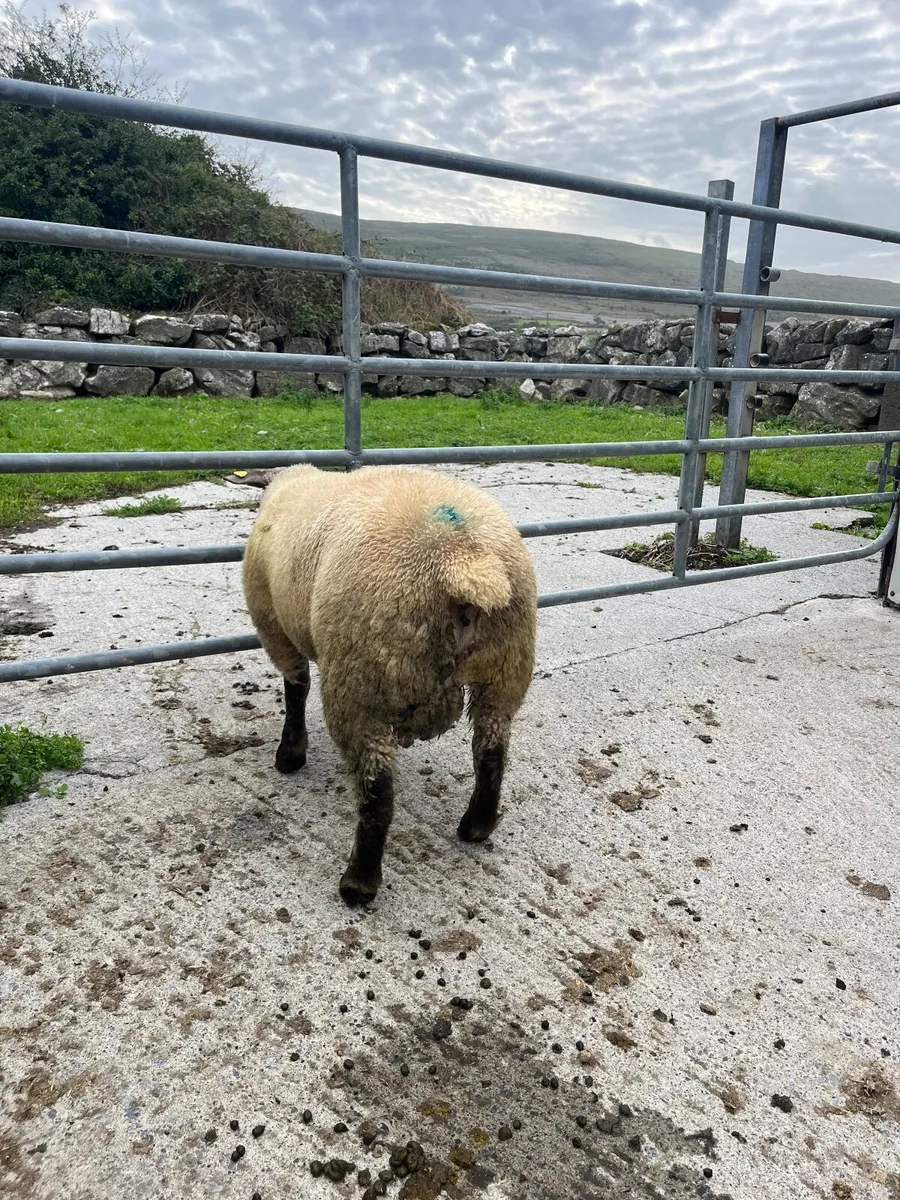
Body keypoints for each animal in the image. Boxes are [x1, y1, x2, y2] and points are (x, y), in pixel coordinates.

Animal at [241, 463, 537, 905]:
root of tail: (465, 561)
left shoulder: (275, 628)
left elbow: (296, 688)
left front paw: (290, 756)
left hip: (361, 679)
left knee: (376, 790)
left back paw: (358, 883)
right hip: (505, 669)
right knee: (491, 751)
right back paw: (476, 826)